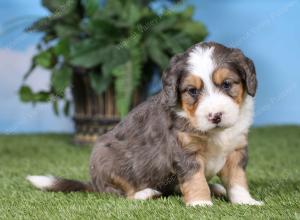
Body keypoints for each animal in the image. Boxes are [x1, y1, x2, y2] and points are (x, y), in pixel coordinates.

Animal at [27, 41, 262, 206]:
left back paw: (216, 188)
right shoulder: (184, 152)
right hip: (107, 160)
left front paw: (246, 201)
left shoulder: (236, 150)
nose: (215, 116)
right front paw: (200, 203)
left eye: (227, 84)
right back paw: (146, 193)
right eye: (192, 91)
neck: (215, 133)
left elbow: (237, 180)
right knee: (119, 194)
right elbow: (195, 179)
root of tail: (93, 183)